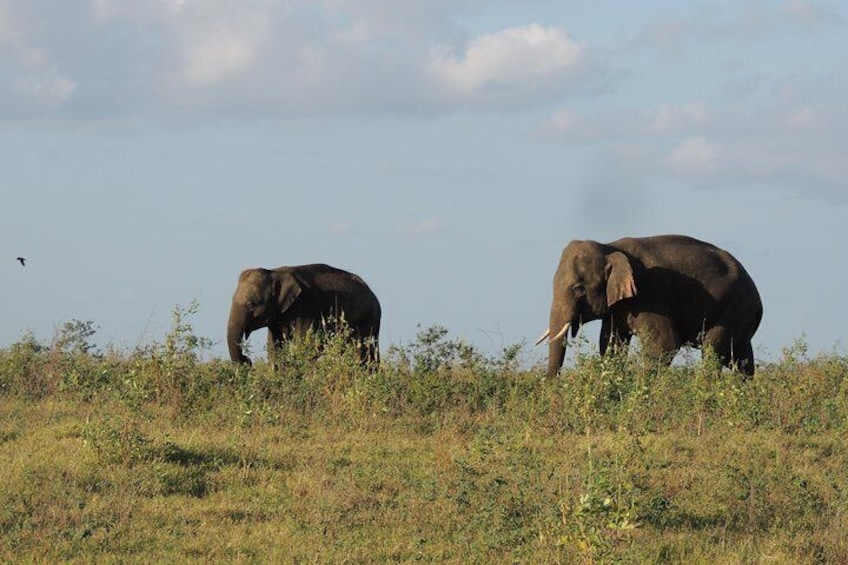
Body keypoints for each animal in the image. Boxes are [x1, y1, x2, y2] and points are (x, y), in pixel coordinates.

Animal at [227, 264, 382, 366]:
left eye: (251, 305)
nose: (247, 359)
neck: (275, 273)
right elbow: (275, 347)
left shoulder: (306, 307)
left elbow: (306, 345)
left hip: (369, 318)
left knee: (364, 350)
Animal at [540, 236, 764, 376]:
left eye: (578, 289)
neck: (609, 247)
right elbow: (611, 345)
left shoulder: (649, 294)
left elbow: (665, 342)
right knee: (740, 357)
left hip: (737, 306)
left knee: (713, 350)